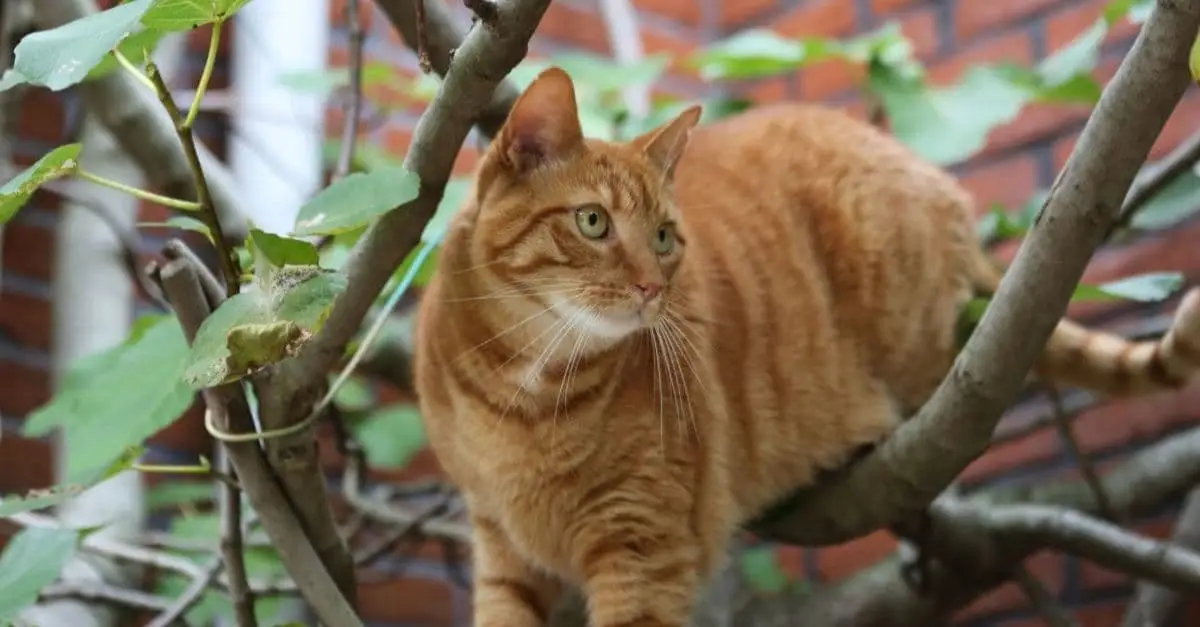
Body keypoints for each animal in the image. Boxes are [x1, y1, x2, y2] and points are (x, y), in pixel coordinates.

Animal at [410, 65, 1200, 619]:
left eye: (663, 237)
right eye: (593, 222)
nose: (652, 288)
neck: (523, 385)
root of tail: (933, 180)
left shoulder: (643, 546)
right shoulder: (501, 547)